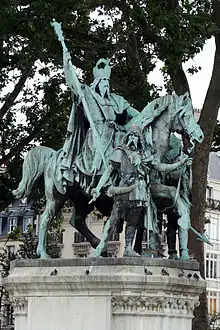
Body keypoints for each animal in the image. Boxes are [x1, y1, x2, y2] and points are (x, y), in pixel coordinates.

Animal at [13, 92, 203, 258]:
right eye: (185, 115)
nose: (199, 135)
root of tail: (54, 155)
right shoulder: (151, 188)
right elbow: (169, 197)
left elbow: (164, 205)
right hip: (57, 196)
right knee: (46, 219)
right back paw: (44, 254)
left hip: (82, 199)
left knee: (77, 221)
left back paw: (98, 246)